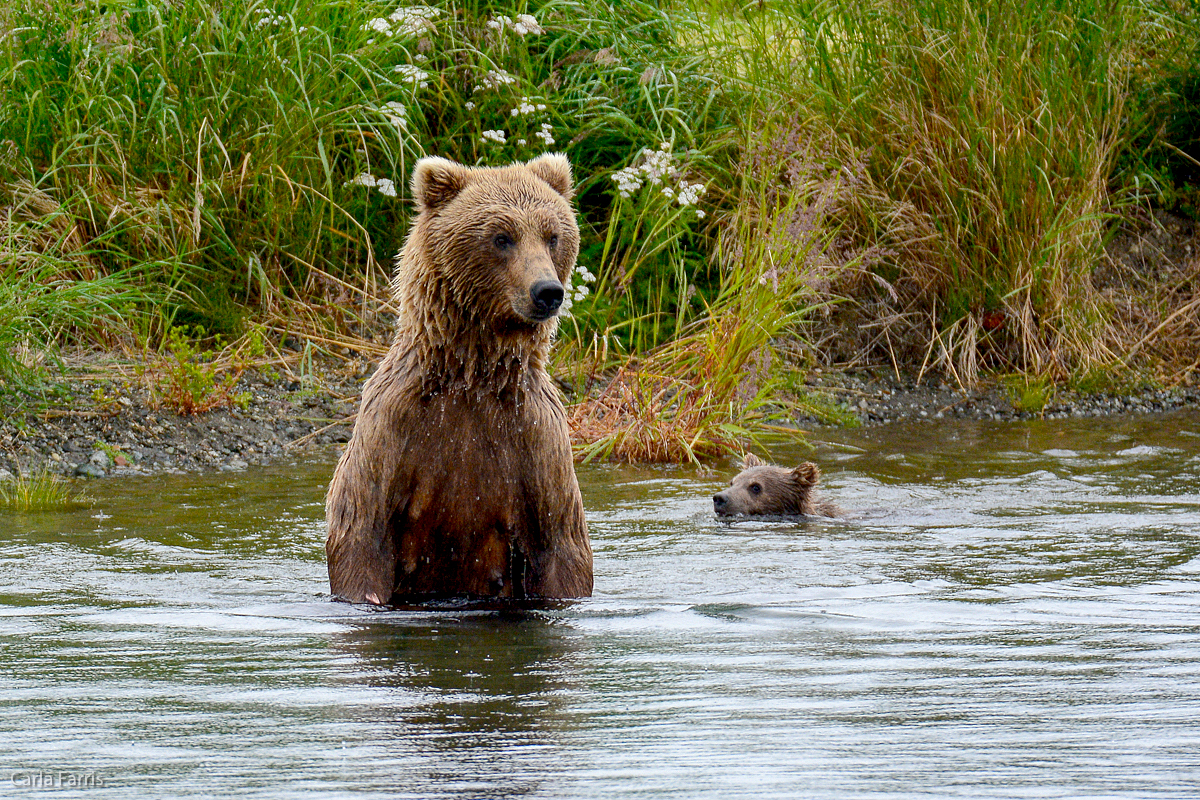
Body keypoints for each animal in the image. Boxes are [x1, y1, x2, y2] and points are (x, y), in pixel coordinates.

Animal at [326, 154, 592, 606]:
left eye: (553, 235)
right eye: (502, 237)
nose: (547, 291)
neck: (473, 374)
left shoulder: (535, 439)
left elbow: (562, 544)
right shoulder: (396, 427)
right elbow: (360, 529)